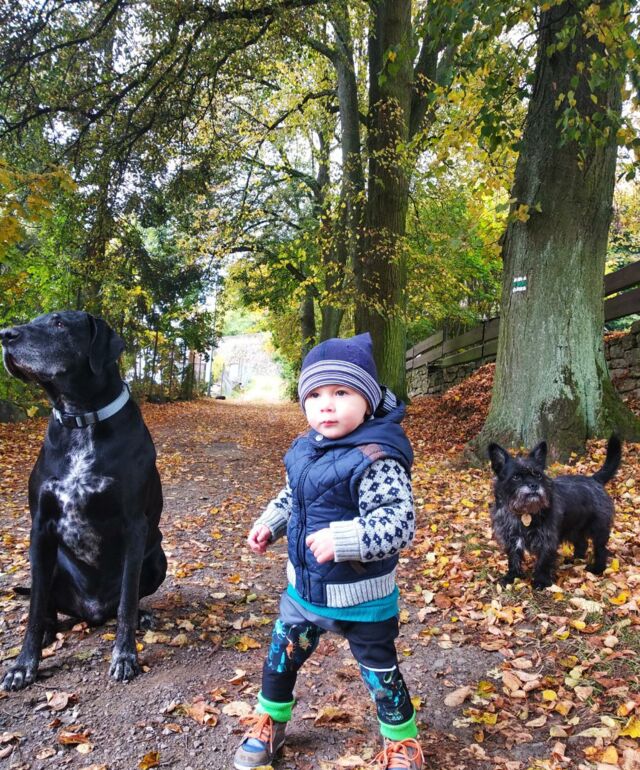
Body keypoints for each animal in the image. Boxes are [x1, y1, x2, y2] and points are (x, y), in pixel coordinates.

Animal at [0, 311, 166, 690]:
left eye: (60, 324)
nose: (5, 335)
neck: (80, 420)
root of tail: (92, 612)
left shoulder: (135, 527)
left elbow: (127, 601)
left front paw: (125, 656)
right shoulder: (40, 527)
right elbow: (34, 608)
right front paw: (23, 664)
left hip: (158, 558)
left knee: (127, 600)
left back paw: (143, 616)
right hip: (53, 564)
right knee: (45, 603)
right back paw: (49, 631)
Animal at [488, 435, 621, 589]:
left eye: (538, 475)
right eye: (516, 477)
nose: (534, 485)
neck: (523, 512)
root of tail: (594, 479)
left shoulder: (547, 540)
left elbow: (543, 562)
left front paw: (541, 580)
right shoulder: (511, 539)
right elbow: (513, 558)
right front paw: (512, 577)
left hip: (598, 529)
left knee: (600, 549)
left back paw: (597, 568)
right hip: (574, 528)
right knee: (582, 544)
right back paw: (575, 560)